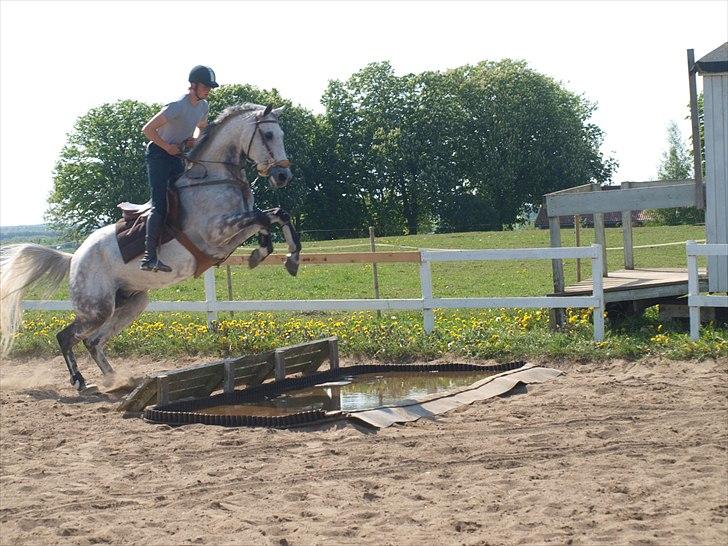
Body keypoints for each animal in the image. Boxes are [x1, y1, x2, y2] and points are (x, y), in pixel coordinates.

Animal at [1, 103, 300, 392]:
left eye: (283, 134)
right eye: (269, 135)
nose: (283, 175)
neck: (214, 178)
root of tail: (74, 257)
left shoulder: (231, 234)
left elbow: (275, 215)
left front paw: (283, 257)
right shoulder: (215, 232)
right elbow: (264, 217)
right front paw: (271, 254)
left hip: (131, 302)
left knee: (93, 342)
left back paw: (117, 380)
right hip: (97, 308)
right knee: (66, 337)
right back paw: (80, 381)